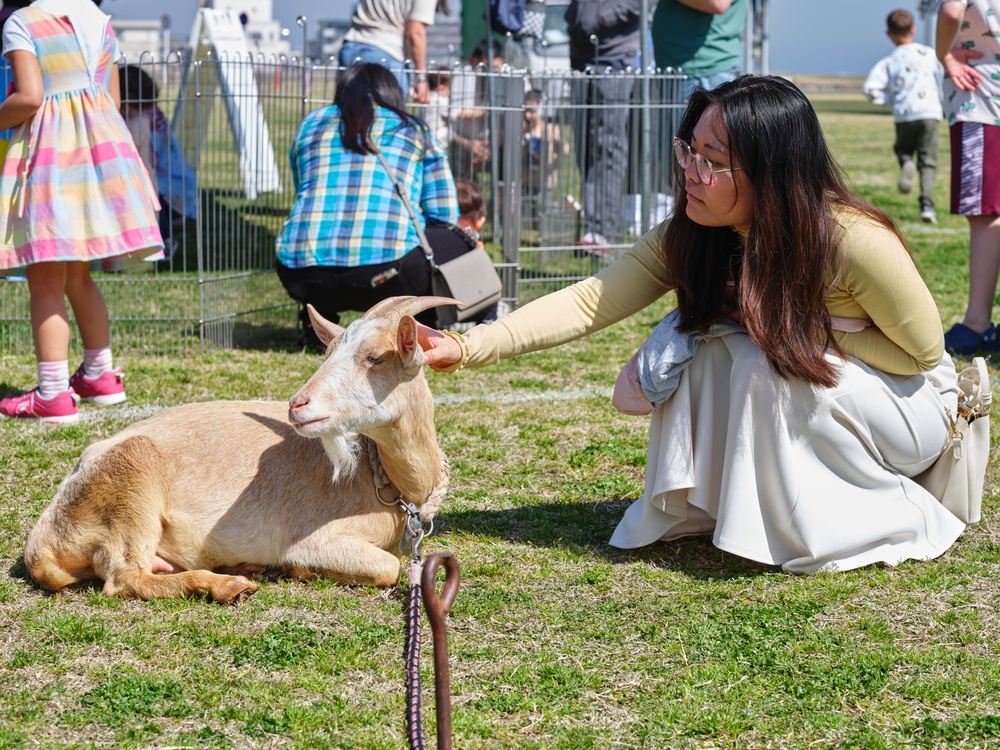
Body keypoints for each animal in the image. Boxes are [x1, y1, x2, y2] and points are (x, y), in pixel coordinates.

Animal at [24, 298, 454, 604]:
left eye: (375, 357)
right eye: (327, 354)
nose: (297, 404)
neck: (385, 478)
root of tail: (42, 546)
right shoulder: (316, 539)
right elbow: (389, 567)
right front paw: (301, 570)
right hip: (131, 485)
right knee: (123, 577)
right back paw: (230, 585)